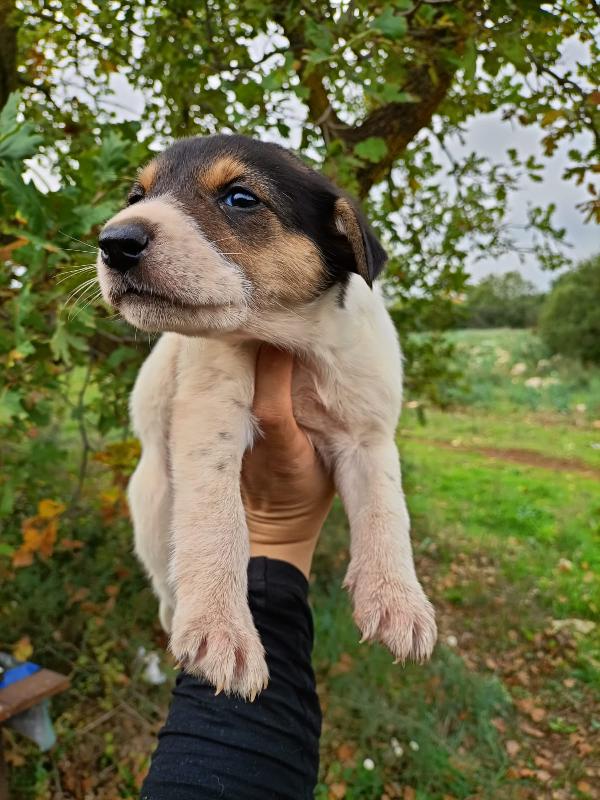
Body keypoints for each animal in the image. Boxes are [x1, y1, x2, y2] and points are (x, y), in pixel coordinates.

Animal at [95, 134, 436, 696]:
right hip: (152, 508)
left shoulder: (368, 434)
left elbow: (387, 512)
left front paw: (396, 599)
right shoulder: (210, 419)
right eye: (134, 197)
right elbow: (218, 523)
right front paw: (219, 627)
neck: (290, 340)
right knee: (166, 584)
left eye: (240, 198)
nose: (113, 241)